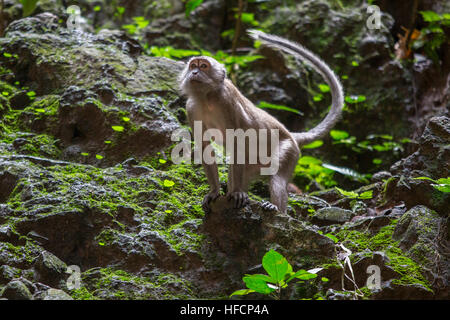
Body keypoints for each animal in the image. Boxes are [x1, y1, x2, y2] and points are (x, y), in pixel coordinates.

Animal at [178, 30, 342, 214]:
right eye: (193, 65)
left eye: (204, 66)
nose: (194, 73)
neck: (207, 98)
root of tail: (291, 135)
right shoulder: (191, 108)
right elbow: (205, 146)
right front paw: (215, 191)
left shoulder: (226, 100)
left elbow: (237, 140)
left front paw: (236, 192)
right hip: (254, 165)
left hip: (289, 150)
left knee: (277, 176)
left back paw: (275, 208)